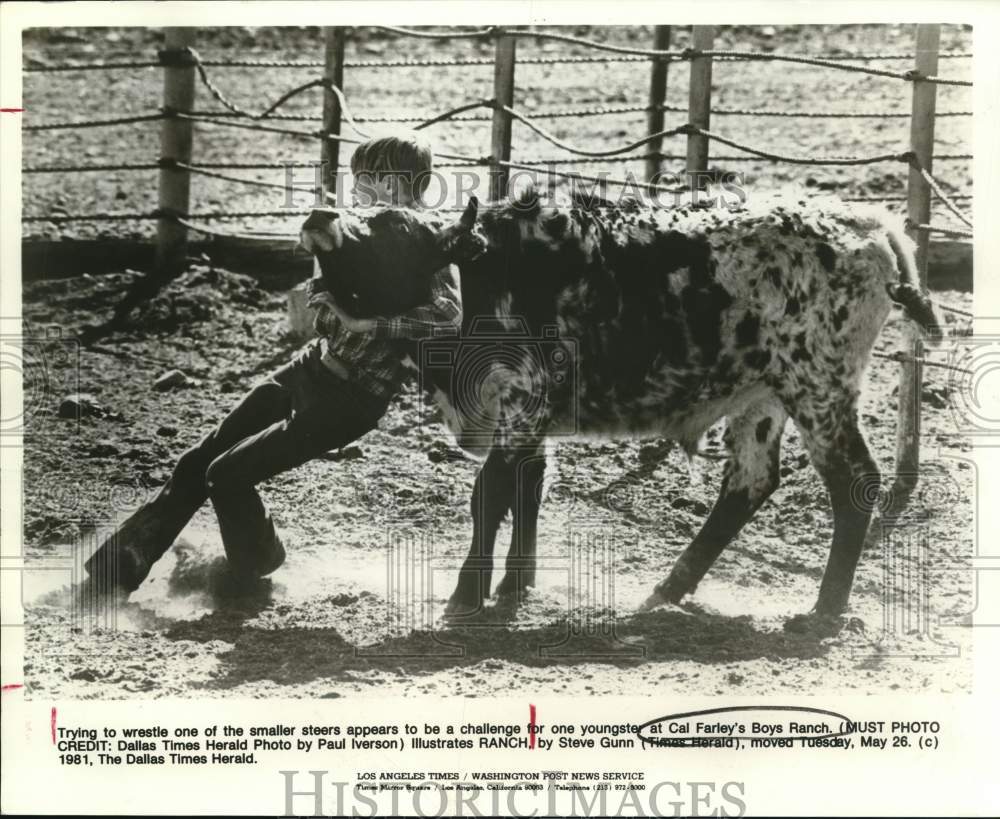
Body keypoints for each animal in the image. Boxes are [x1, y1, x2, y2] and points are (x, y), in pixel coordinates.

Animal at [300, 192, 940, 624]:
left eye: (392, 227)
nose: (319, 217)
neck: (480, 280)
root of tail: (870, 224)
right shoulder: (531, 421)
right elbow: (527, 488)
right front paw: (514, 586)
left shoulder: (518, 406)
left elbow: (491, 494)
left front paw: (466, 595)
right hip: (763, 397)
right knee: (749, 483)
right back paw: (670, 589)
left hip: (819, 389)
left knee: (854, 483)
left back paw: (824, 610)